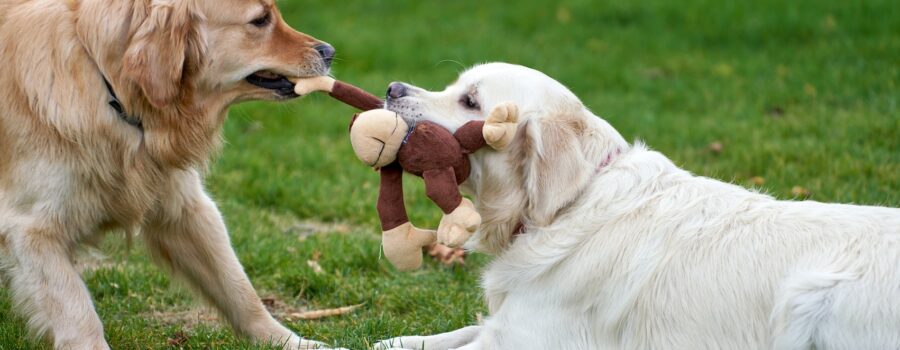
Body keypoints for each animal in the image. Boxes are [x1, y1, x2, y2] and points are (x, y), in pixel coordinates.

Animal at [0, 0, 338, 348]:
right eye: (260, 20)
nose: (329, 51)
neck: (112, 89)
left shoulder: (186, 207)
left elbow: (239, 289)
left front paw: (288, 340)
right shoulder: (30, 230)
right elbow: (78, 313)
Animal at [374, 63, 900, 350]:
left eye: (470, 100)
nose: (393, 88)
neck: (569, 205)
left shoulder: (528, 337)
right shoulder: (507, 324)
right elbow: (455, 332)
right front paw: (393, 338)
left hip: (811, 299)